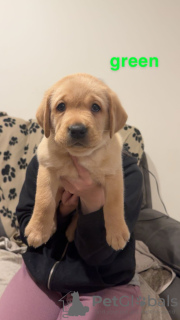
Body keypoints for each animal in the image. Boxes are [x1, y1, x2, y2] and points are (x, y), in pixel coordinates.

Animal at [24, 74, 130, 251]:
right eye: (61, 106)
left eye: (95, 107)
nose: (77, 129)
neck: (80, 156)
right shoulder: (47, 168)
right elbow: (45, 201)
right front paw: (37, 230)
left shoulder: (113, 174)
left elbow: (114, 203)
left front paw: (117, 233)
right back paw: (51, 226)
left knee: (79, 214)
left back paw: (71, 231)